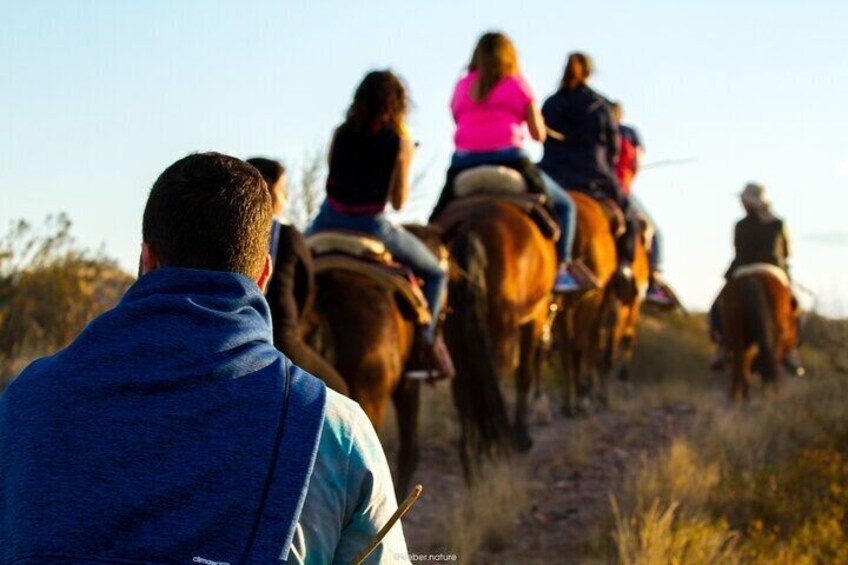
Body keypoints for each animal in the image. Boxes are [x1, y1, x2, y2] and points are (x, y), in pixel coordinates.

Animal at [438, 200, 556, 478]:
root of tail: (470, 227)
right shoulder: (534, 317)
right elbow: (523, 374)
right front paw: (522, 437)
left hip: (452, 326)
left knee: (463, 384)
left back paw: (471, 459)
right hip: (504, 321)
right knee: (496, 372)